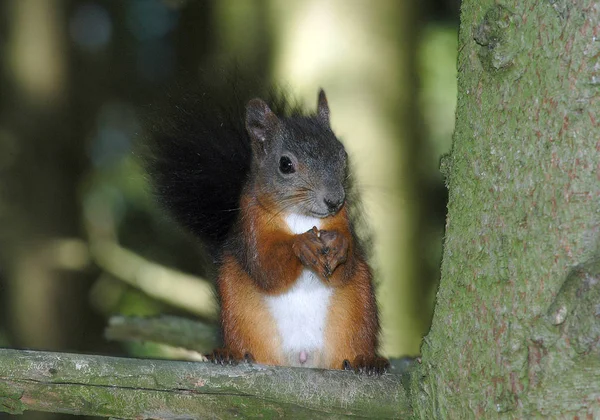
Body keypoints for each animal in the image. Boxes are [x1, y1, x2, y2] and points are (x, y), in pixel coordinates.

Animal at [146, 84, 390, 374]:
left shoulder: (342, 221)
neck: (300, 216)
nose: (334, 200)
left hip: (356, 309)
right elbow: (266, 268)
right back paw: (231, 354)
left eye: (343, 155)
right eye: (285, 164)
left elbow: (346, 268)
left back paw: (365, 359)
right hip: (239, 311)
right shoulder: (251, 225)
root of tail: (301, 358)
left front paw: (341, 245)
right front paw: (301, 245)